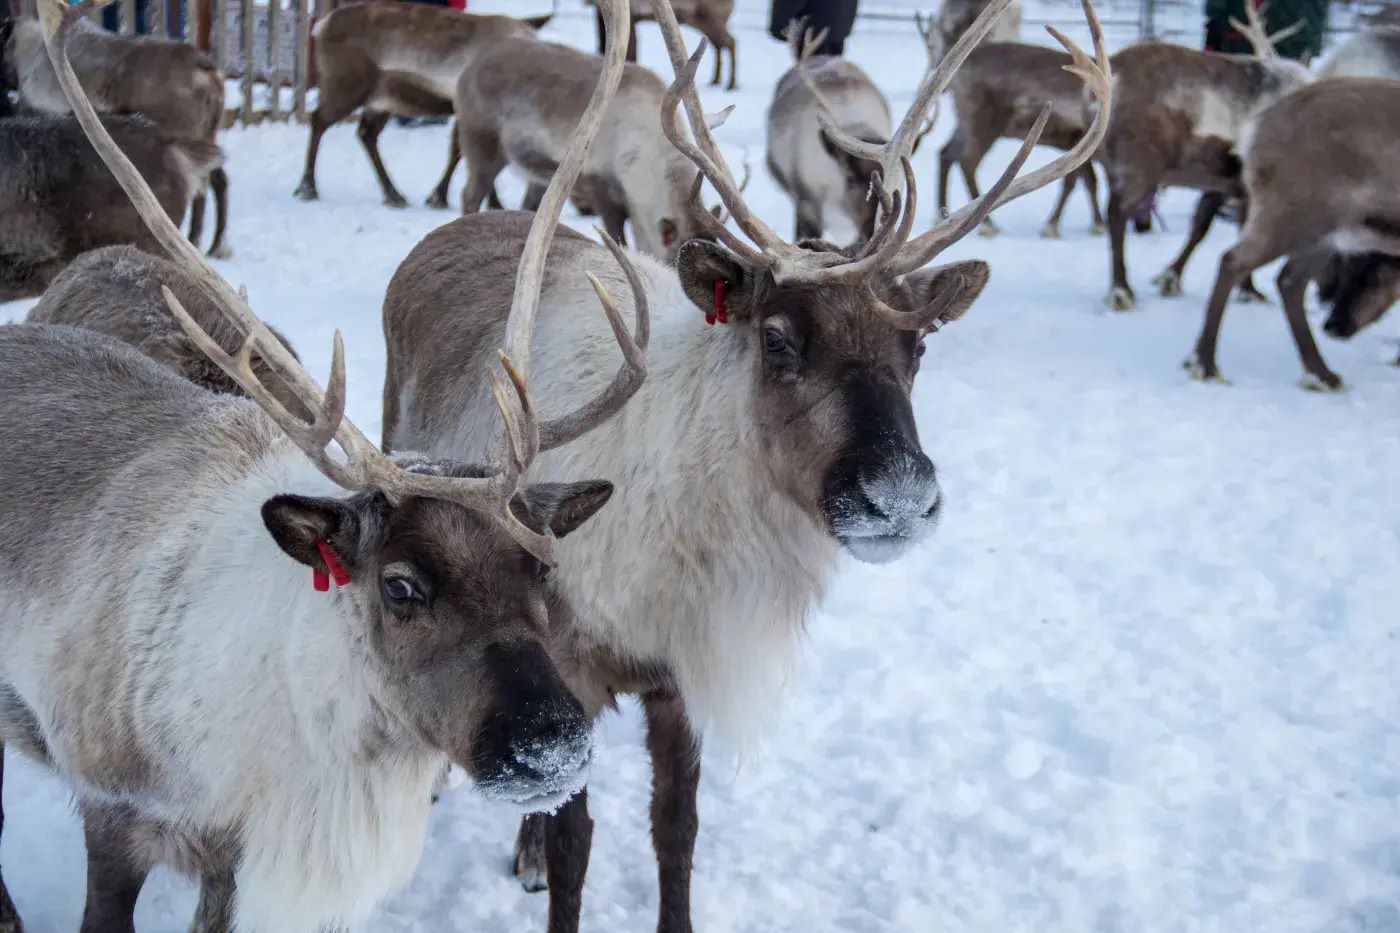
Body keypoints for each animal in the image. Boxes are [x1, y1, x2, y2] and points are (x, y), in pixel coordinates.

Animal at [3, 13, 231, 258]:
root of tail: (207, 70)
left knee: (201, 188)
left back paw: (197, 241)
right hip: (207, 136)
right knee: (218, 180)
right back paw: (214, 244)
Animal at [293, 1, 550, 208]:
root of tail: (322, 26)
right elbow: (461, 152)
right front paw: (445, 198)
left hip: (381, 100)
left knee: (366, 134)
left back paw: (393, 194)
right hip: (347, 85)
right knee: (319, 120)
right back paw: (308, 188)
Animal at [450, 30, 719, 260]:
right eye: (676, 261)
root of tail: (472, 65)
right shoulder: (600, 185)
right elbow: (618, 239)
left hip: (539, 177)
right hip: (481, 144)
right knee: (470, 193)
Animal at [1186, 77, 1400, 389]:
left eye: (1375, 276)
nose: (1336, 327)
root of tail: (1253, 134)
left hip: (1324, 234)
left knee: (1289, 280)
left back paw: (1320, 374)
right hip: (1297, 218)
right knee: (1234, 261)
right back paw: (1205, 364)